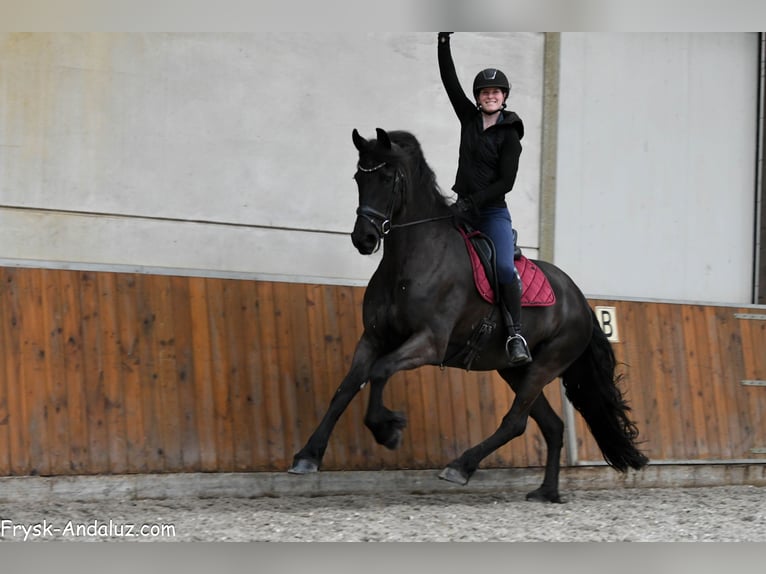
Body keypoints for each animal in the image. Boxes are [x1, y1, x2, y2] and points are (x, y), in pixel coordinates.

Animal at [288, 127, 648, 502]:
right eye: (359, 178)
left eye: (387, 178)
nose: (364, 238)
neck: (409, 260)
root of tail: (580, 301)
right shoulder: (373, 338)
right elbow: (346, 388)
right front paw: (308, 455)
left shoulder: (429, 342)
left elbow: (380, 371)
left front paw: (388, 430)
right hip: (515, 370)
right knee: (551, 425)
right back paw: (545, 491)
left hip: (547, 365)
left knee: (515, 422)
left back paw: (461, 466)